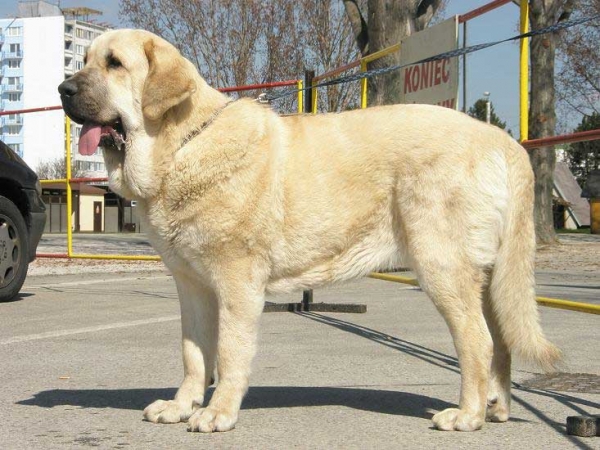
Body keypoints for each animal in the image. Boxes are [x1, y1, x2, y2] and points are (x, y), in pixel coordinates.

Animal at [58, 29, 560, 432]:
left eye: (115, 64)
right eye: (84, 60)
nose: (62, 88)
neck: (183, 145)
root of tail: (501, 140)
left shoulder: (237, 285)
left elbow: (230, 353)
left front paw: (218, 413)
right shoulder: (192, 287)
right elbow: (194, 354)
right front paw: (182, 406)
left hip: (443, 268)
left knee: (478, 341)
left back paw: (468, 415)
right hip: (487, 278)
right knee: (501, 342)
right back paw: (496, 408)